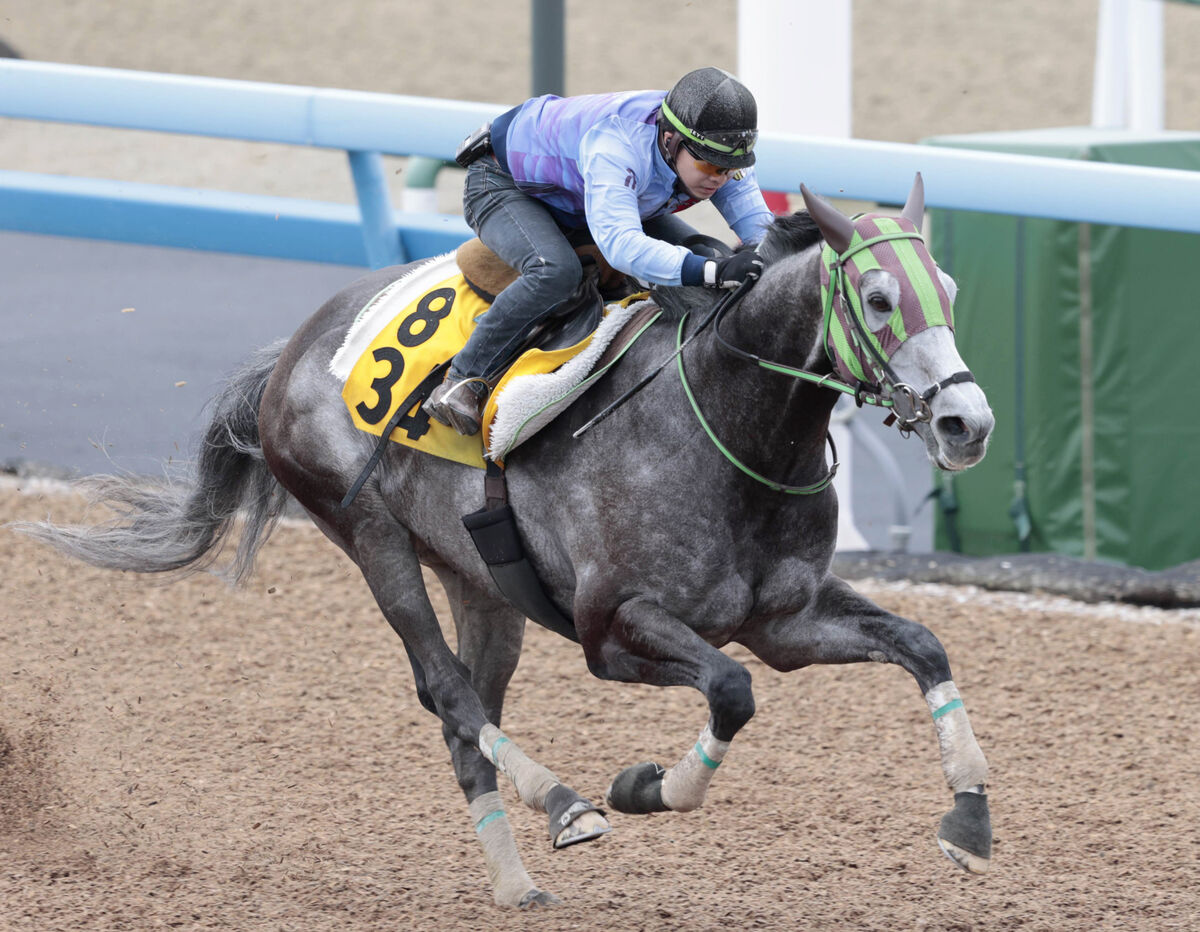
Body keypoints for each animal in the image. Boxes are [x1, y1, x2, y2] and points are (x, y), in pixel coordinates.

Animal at [18, 178, 993, 906]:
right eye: (878, 299)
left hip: (484, 582)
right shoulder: (613, 629)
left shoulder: (785, 621)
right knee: (448, 693)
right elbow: (730, 689)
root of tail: (294, 348)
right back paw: (561, 804)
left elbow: (924, 646)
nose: (967, 422)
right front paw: (645, 788)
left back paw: (515, 880)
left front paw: (971, 818)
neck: (727, 426)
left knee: (466, 718)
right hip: (368, 533)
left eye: (949, 291)